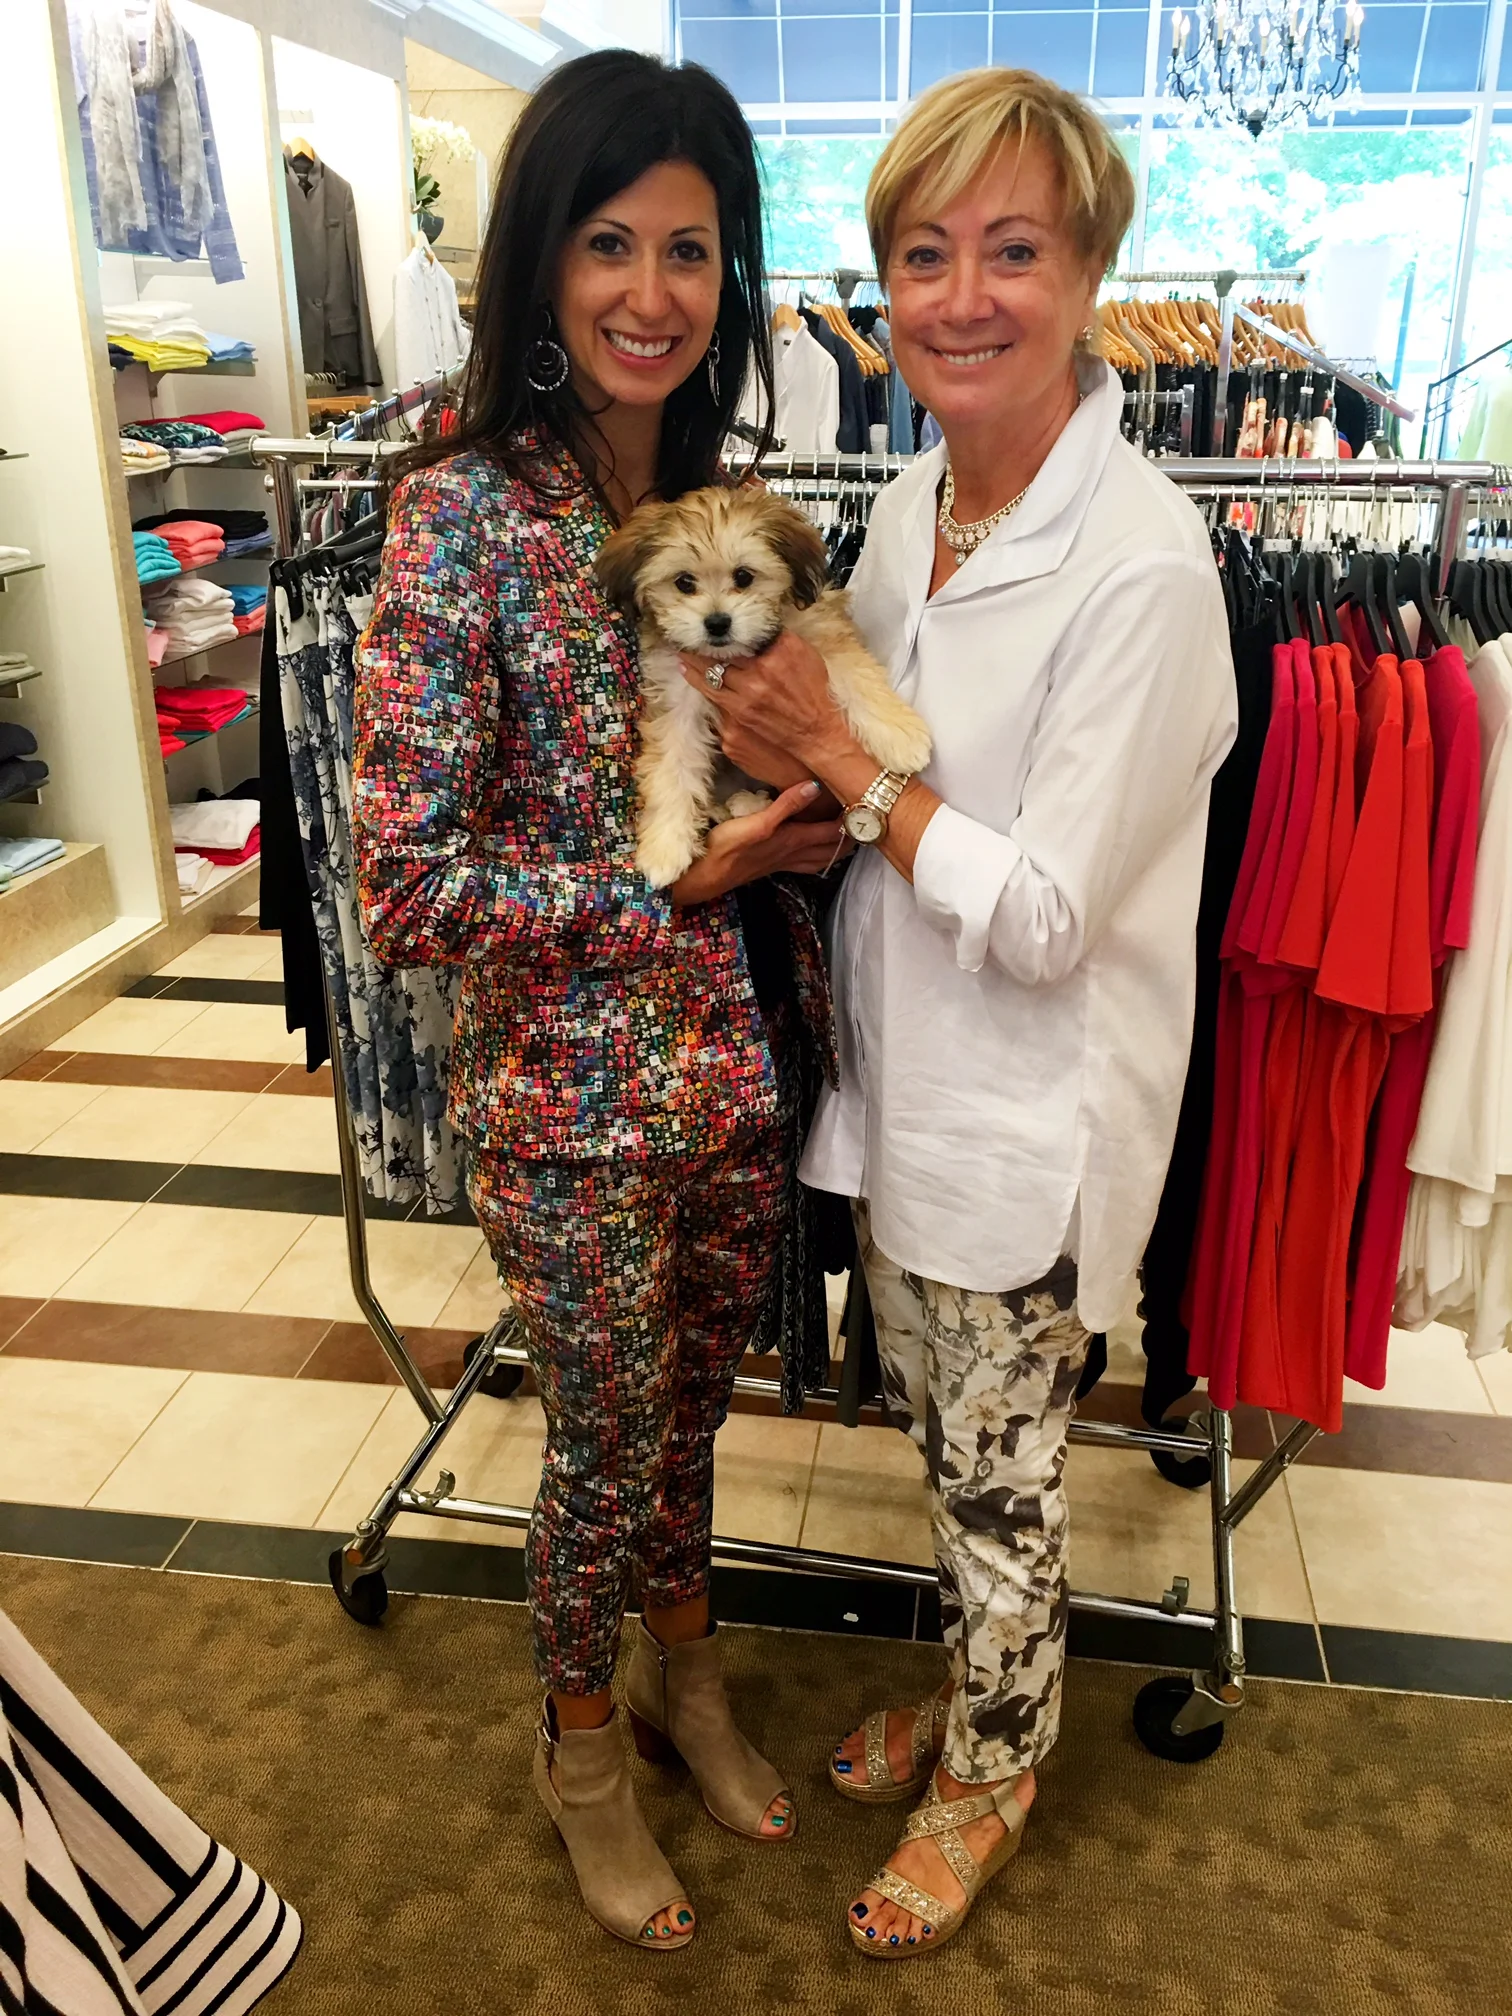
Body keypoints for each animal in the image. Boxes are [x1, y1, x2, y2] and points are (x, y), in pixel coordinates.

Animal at [596, 487, 932, 889]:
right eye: (684, 582)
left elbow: (857, 675)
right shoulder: (676, 698)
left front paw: (901, 737)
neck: (736, 656)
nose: (717, 623)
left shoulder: (820, 635)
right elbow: (671, 766)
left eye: (744, 576)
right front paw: (665, 848)